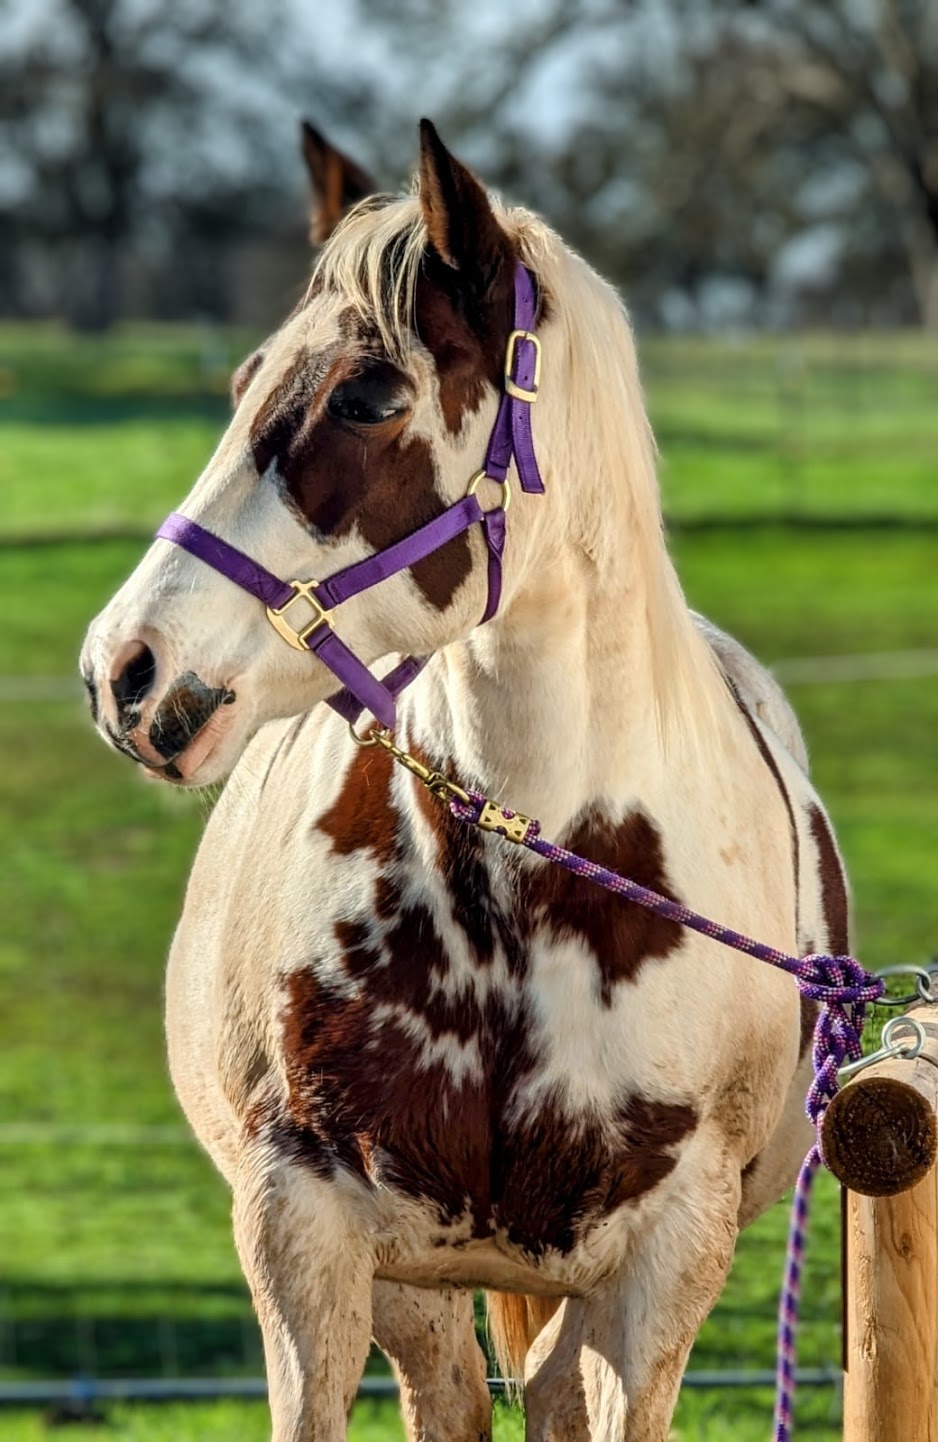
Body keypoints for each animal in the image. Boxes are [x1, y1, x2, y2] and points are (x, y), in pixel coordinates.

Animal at [81, 119, 846, 1441]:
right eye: (241, 383)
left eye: (367, 395)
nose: (124, 668)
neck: (528, 887)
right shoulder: (305, 1236)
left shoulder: (664, 1265)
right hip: (421, 1287)